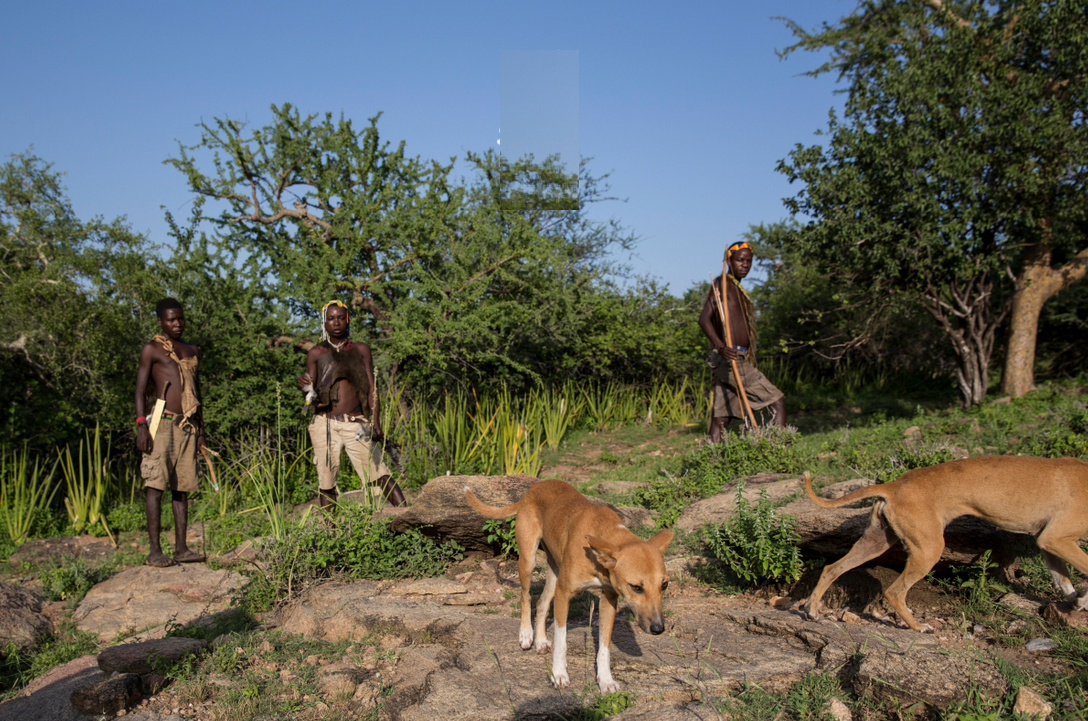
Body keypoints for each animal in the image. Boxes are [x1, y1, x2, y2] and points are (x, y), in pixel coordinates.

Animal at [465, 478, 670, 695]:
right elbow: (561, 641)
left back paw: (540, 640)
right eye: (636, 587)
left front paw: (605, 680)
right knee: (525, 596)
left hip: (555, 571)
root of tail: (533, 489)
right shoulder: (564, 594)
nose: (658, 629)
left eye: (664, 585)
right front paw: (558, 674)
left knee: (541, 603)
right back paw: (526, 634)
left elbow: (604, 646)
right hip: (529, 560)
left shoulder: (609, 599)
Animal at [800, 456, 1088, 630]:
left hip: (874, 542)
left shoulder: (1048, 544)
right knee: (894, 591)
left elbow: (1063, 580)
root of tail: (894, 485)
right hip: (928, 550)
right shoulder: (1056, 539)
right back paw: (917, 626)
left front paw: (1079, 601)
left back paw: (812, 610)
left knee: (831, 569)